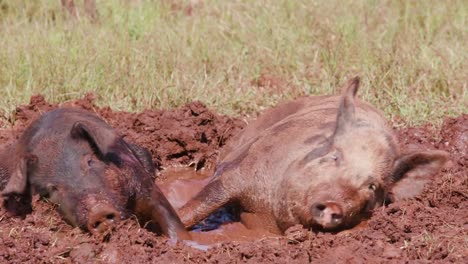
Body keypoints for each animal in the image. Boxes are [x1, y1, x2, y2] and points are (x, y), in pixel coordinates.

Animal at [0, 108, 190, 241]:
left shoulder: (138, 176)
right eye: (51, 189)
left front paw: (183, 243)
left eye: (90, 161)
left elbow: (164, 211)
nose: (98, 211)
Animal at [177, 76, 448, 233]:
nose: (333, 204)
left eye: (372, 186)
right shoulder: (240, 171)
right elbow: (202, 204)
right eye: (335, 156)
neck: (270, 213)